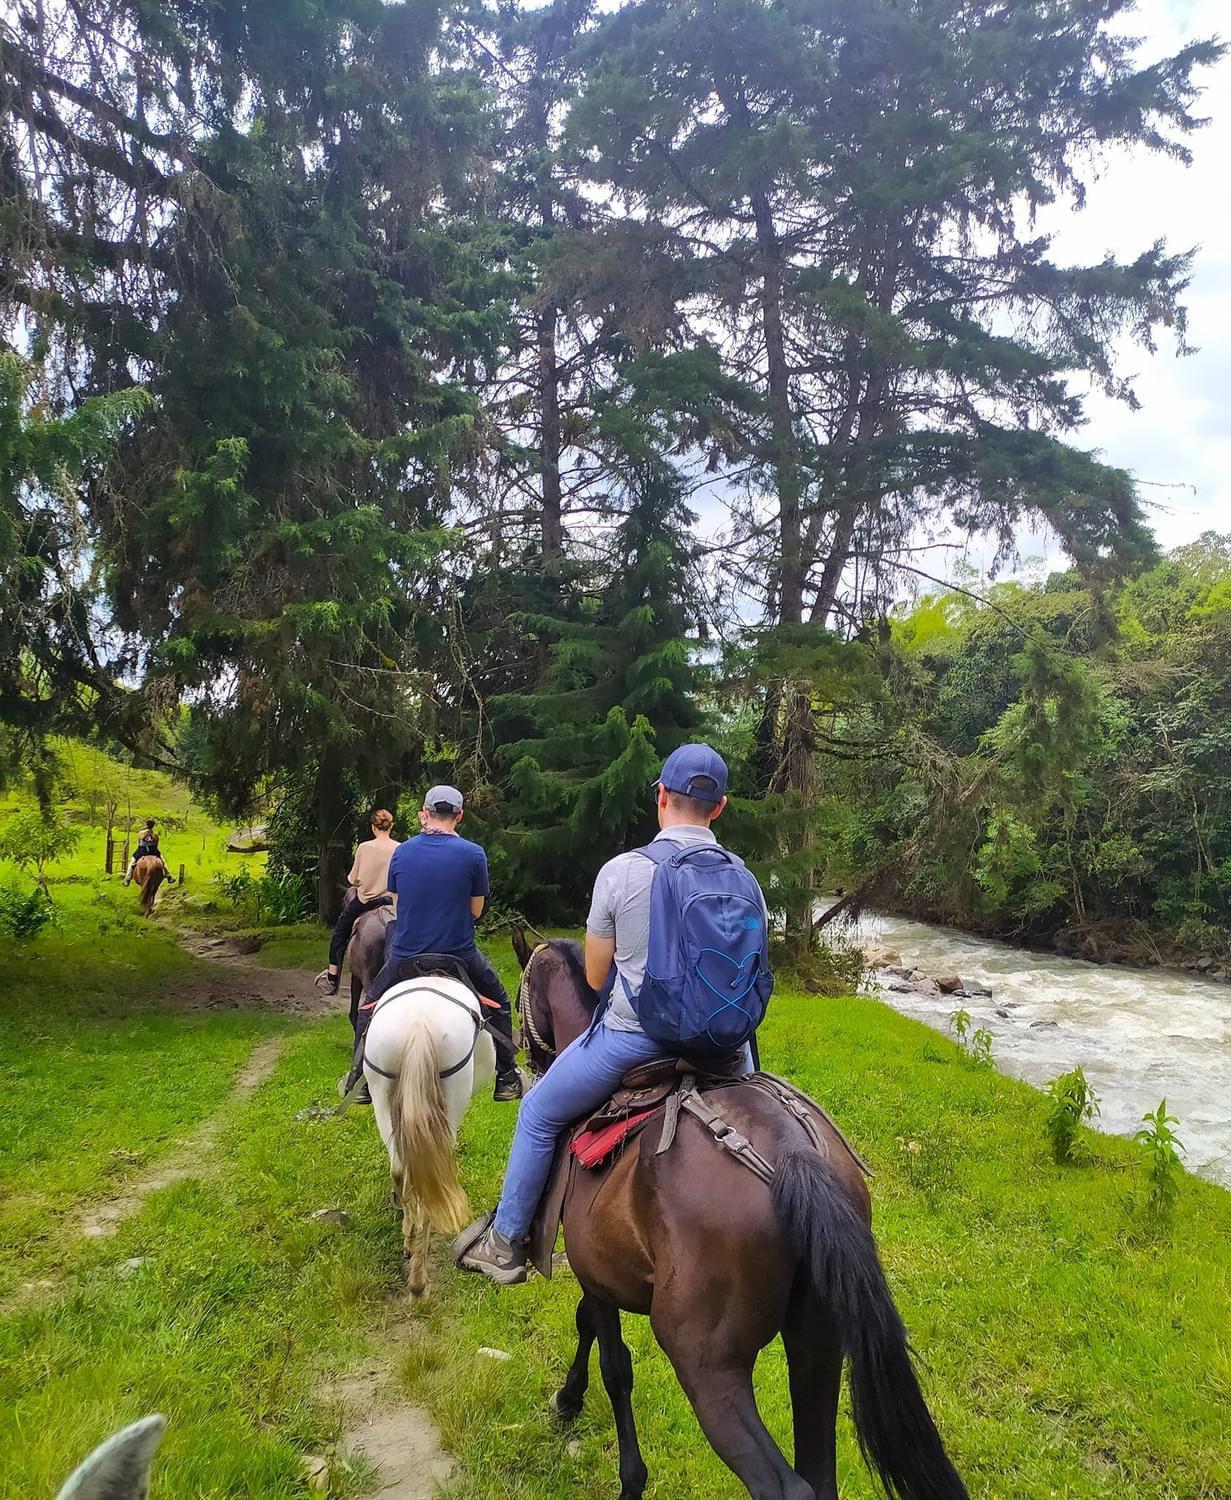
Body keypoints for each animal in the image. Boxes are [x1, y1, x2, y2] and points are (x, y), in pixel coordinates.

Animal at [362, 978, 497, 1296]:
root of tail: (419, 1025)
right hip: (454, 1097)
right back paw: (418, 1281)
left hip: (381, 1094)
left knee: (400, 1168)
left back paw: (410, 1244)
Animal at [512, 924, 971, 1500]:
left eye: (520, 996)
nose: (526, 1058)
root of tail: (792, 1155)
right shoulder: (601, 1273)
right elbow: (588, 1330)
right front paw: (569, 1400)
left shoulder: (596, 1276)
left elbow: (613, 1365)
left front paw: (622, 1469)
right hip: (819, 1343)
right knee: (819, 1473)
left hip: (707, 1364)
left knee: (785, 1485)